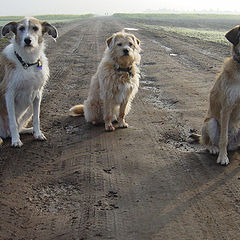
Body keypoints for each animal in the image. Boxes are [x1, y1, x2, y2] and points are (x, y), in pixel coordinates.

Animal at [0, 16, 57, 146]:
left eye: (35, 28)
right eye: (21, 28)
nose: (27, 40)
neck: (27, 62)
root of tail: (4, 133)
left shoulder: (37, 94)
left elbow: (37, 118)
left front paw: (38, 134)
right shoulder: (9, 94)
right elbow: (13, 122)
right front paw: (16, 140)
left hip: (29, 108)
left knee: (20, 127)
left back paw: (29, 130)